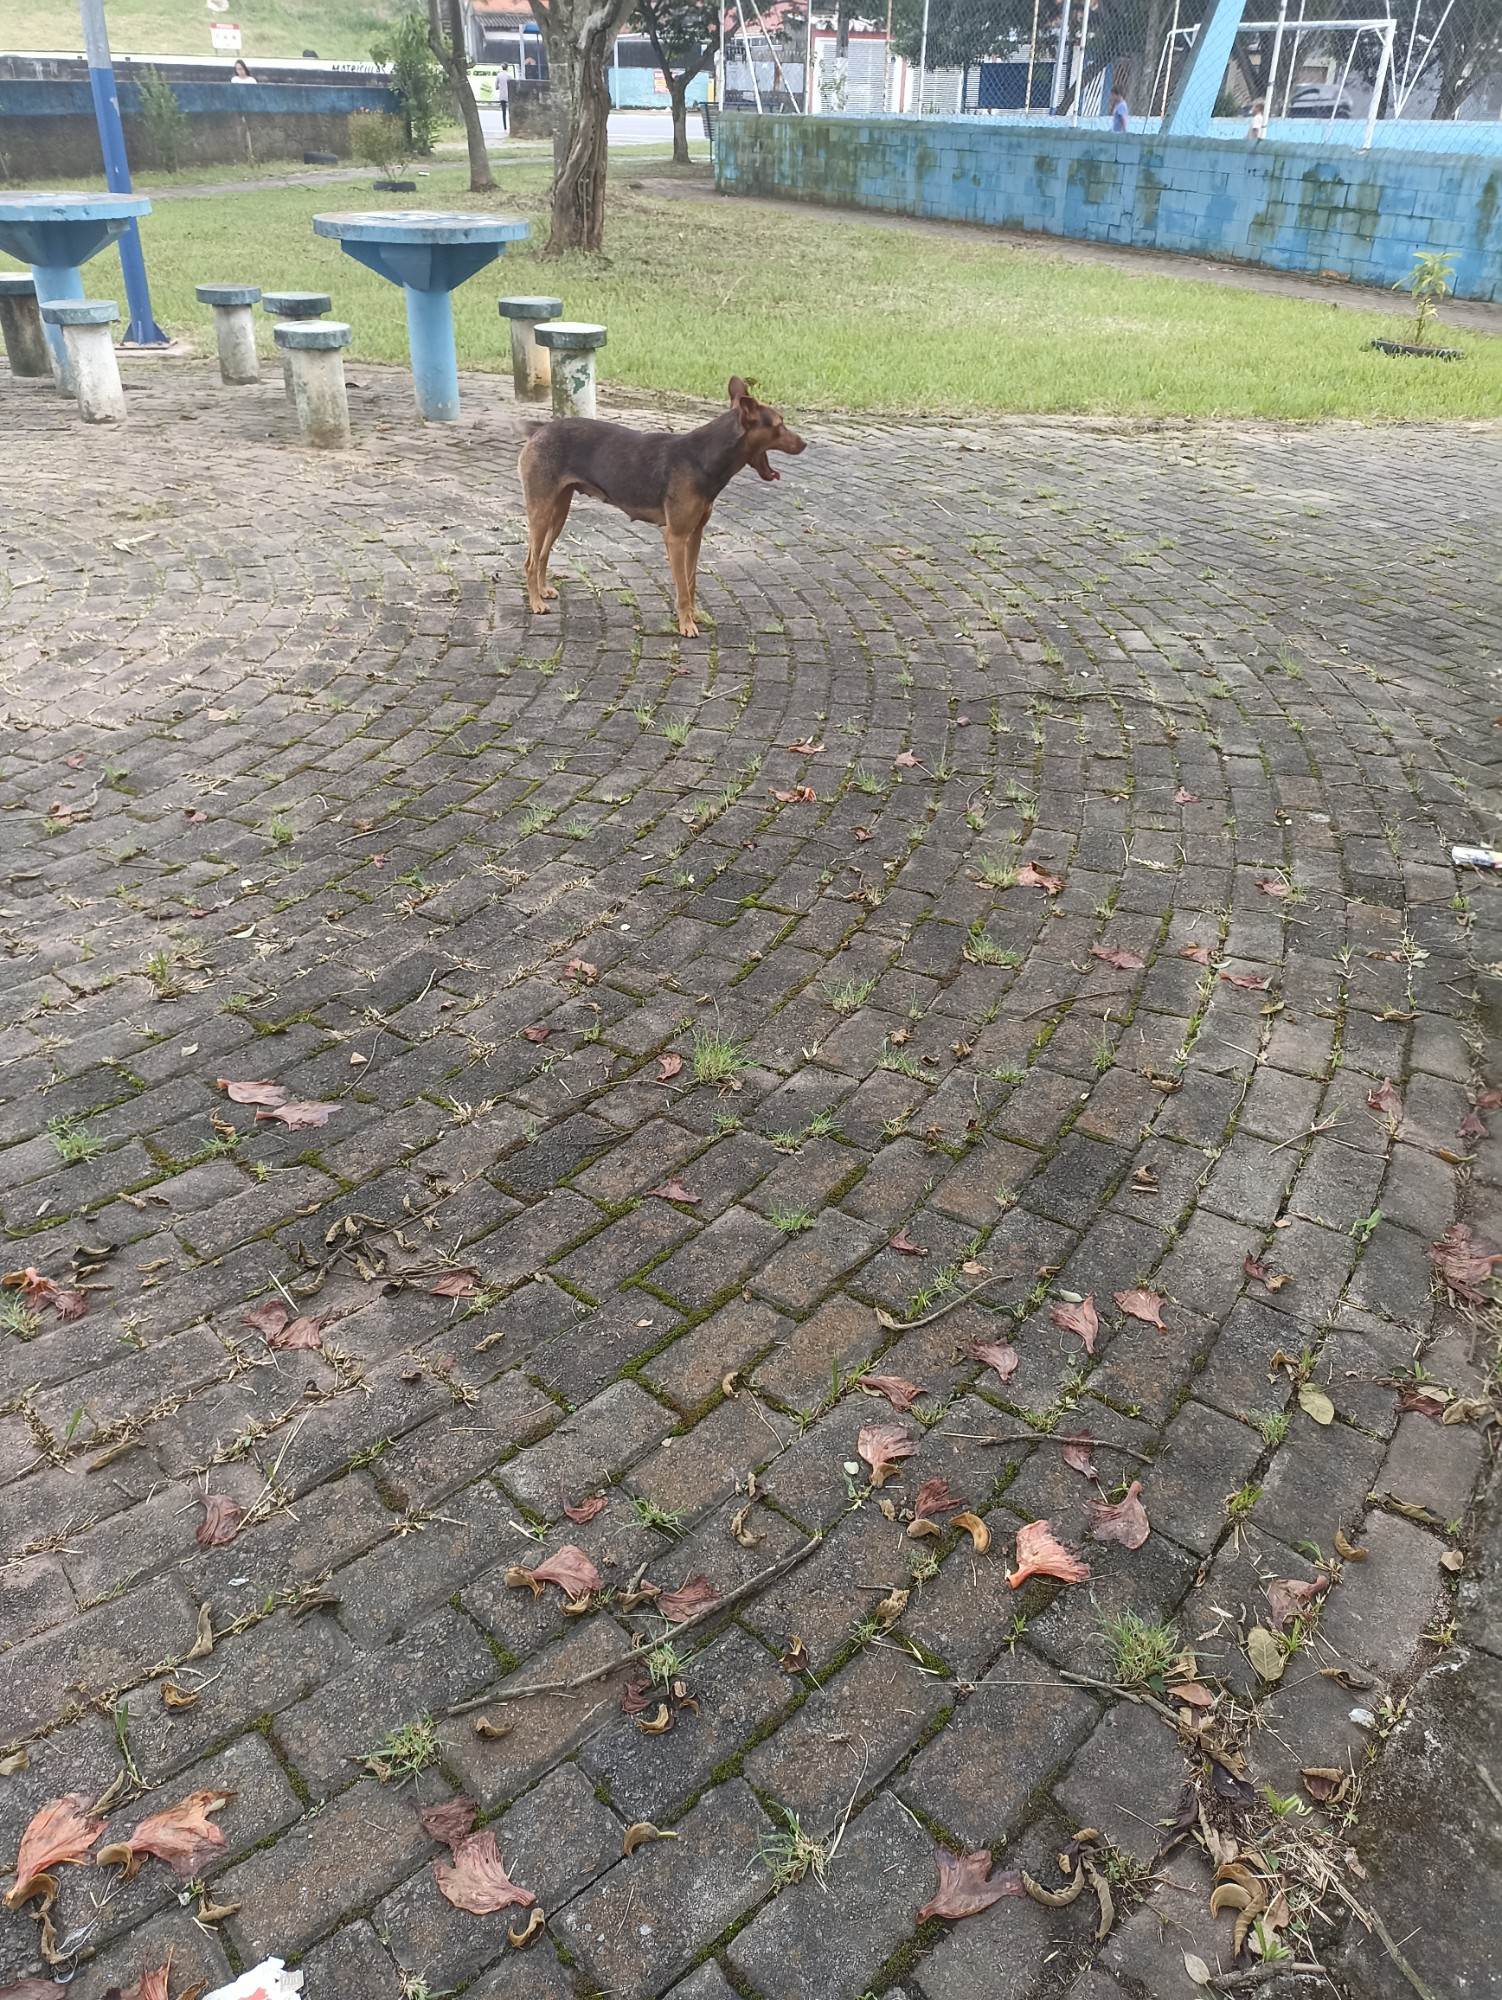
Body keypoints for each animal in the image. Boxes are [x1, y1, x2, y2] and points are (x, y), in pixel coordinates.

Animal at [519, 377, 806, 637]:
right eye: (780, 424)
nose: (804, 444)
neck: (703, 457)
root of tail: (540, 430)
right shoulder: (675, 537)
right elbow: (682, 589)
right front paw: (686, 625)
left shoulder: (695, 535)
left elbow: (690, 582)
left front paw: (694, 615)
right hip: (540, 511)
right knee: (530, 561)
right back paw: (536, 602)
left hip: (559, 511)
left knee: (542, 554)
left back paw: (542, 590)